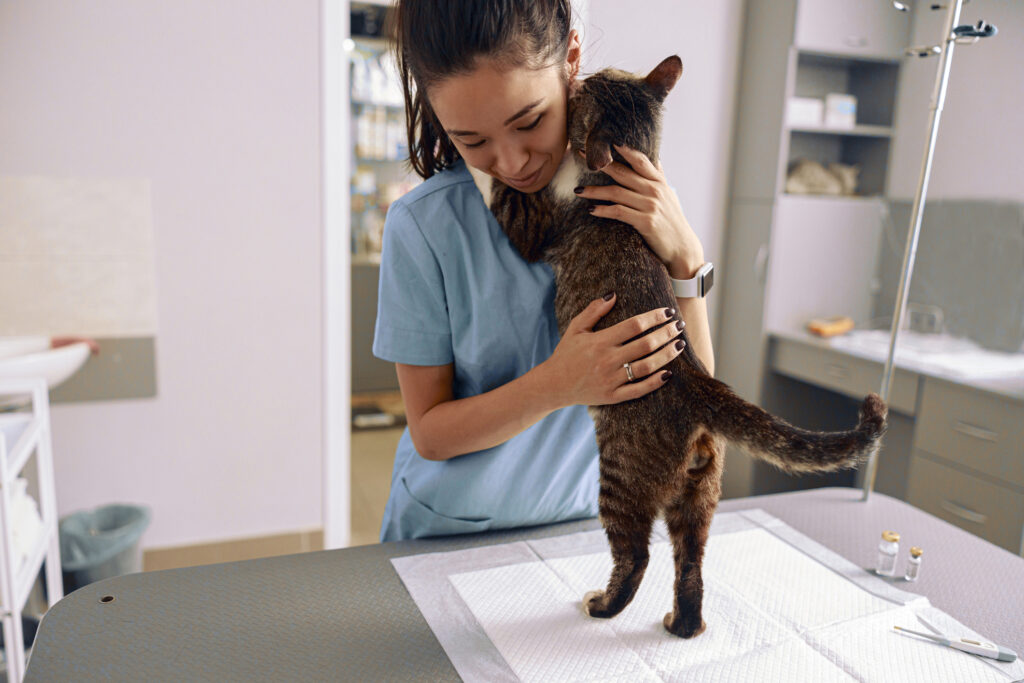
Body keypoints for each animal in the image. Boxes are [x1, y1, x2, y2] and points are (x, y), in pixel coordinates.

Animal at [468, 56, 880, 638]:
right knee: (692, 562)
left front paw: (474, 162)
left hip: (621, 477)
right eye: (602, 76)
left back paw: (603, 604)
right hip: (701, 494)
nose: (579, 76)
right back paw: (683, 624)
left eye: (586, 93)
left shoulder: (538, 226)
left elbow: (506, 197)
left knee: (637, 554)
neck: (617, 171)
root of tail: (696, 380)